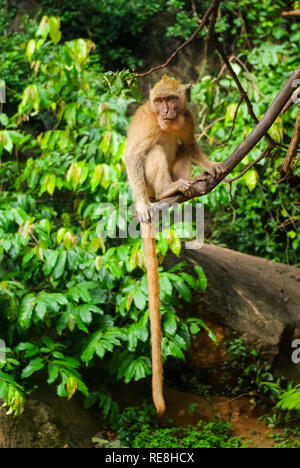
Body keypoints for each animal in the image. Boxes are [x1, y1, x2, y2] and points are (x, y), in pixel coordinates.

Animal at [125, 74, 225, 414]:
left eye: (172, 100)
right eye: (159, 101)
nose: (166, 111)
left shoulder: (189, 117)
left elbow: (190, 144)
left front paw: (210, 164)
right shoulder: (147, 122)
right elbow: (133, 155)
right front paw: (140, 206)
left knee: (180, 150)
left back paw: (187, 187)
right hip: (151, 185)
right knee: (152, 151)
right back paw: (165, 192)